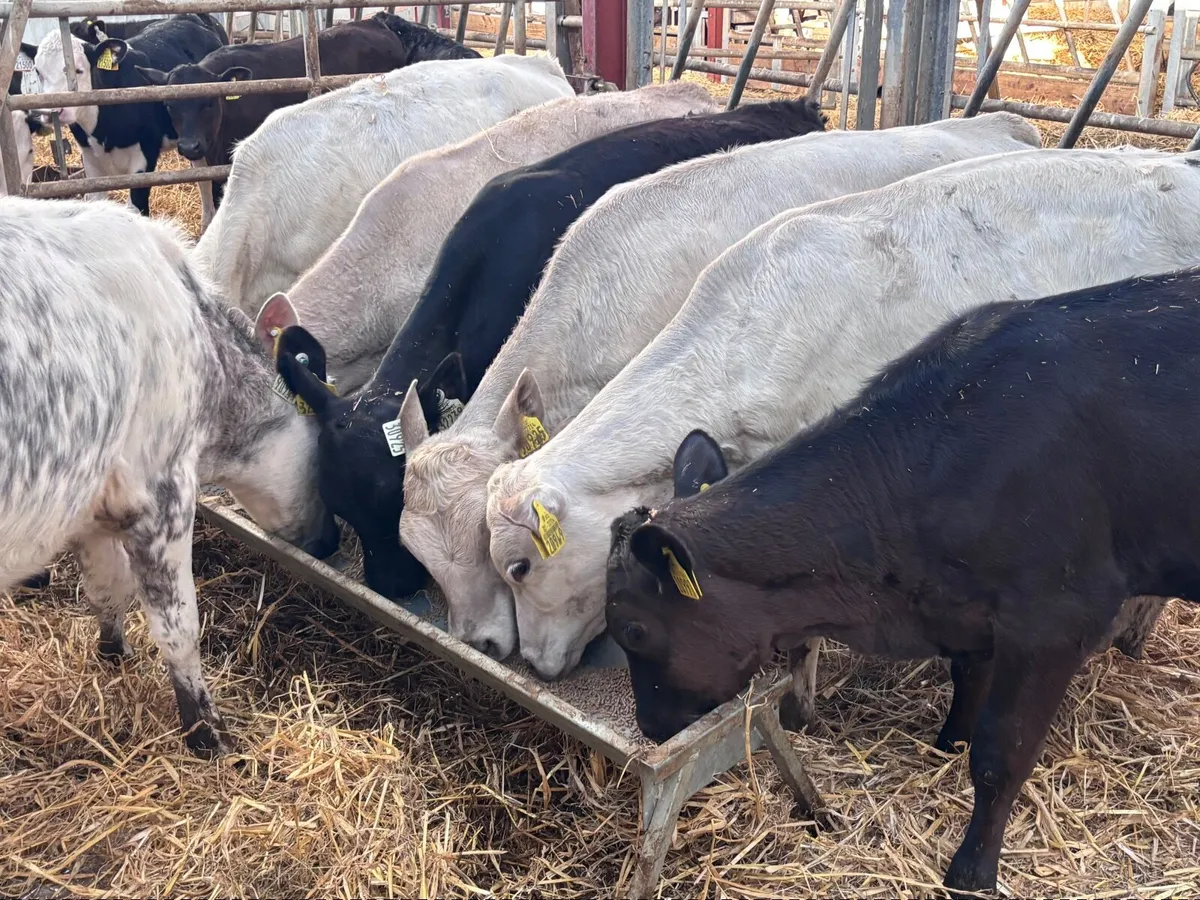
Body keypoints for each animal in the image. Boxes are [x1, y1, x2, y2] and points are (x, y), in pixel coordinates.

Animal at [0, 196, 339, 756]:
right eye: (324, 460)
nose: (332, 540)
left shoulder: (94, 507)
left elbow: (106, 588)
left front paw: (113, 652)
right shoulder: (163, 496)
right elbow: (179, 627)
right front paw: (207, 733)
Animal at [605, 270, 1200, 894]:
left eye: (633, 629)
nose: (649, 727)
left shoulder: (1054, 620)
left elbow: (1002, 753)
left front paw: (972, 870)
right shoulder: (967, 608)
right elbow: (968, 680)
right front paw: (948, 744)